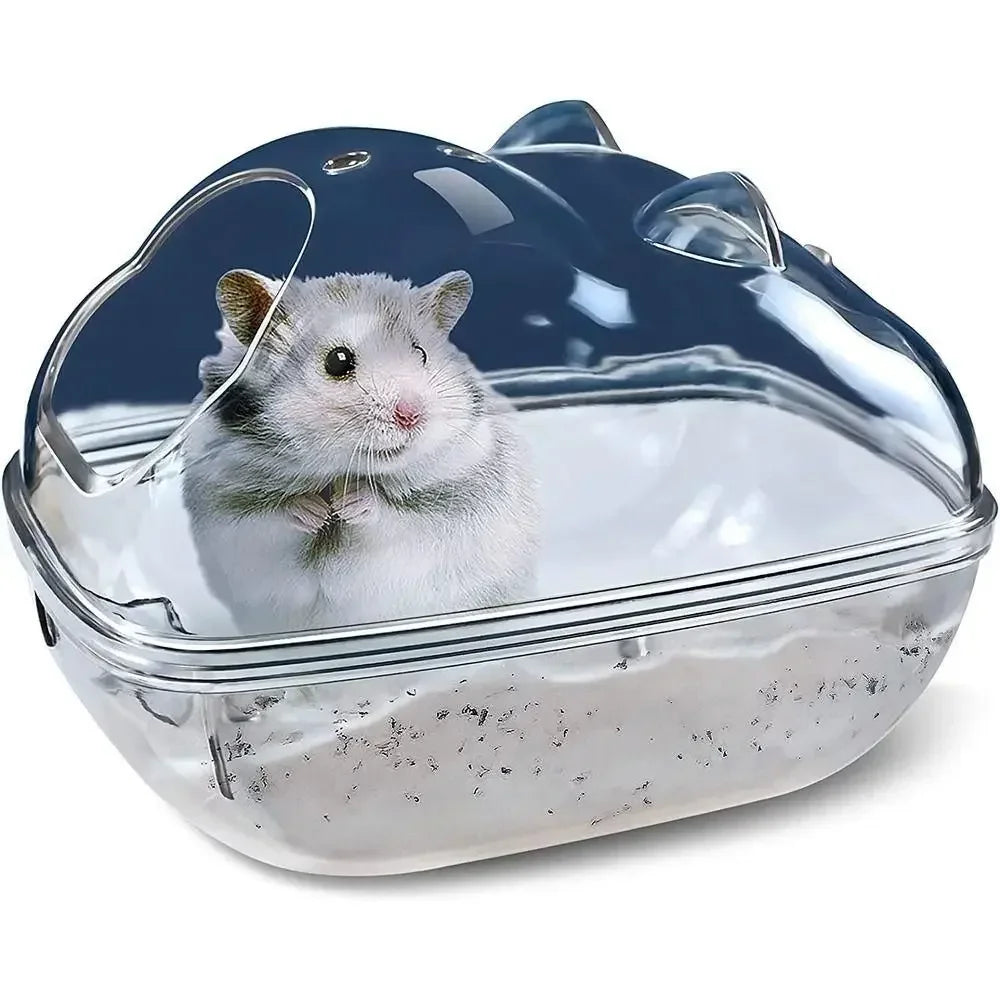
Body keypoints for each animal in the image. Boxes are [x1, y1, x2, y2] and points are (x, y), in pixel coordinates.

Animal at [181, 268, 539, 634]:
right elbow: (270, 517)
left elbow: (393, 517)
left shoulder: (451, 508)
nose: (412, 415)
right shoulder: (226, 514)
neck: (339, 471)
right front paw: (316, 511)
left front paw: (346, 503)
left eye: (421, 354)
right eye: (338, 361)